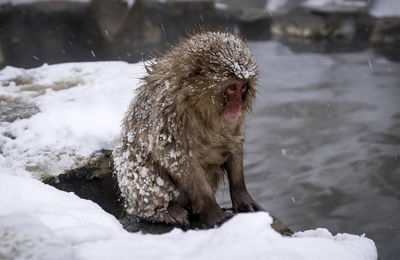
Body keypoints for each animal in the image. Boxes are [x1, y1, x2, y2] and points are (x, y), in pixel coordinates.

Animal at [112, 30, 264, 228]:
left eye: (243, 87)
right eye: (232, 87)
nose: (237, 105)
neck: (196, 102)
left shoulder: (234, 121)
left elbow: (233, 143)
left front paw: (242, 197)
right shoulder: (170, 111)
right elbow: (178, 157)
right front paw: (213, 211)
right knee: (136, 164)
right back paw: (161, 211)